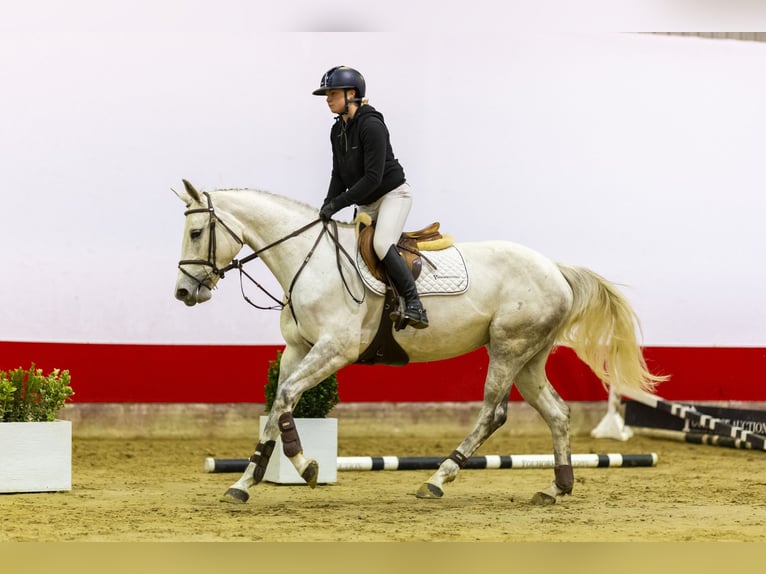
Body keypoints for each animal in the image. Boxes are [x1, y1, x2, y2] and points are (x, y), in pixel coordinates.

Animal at [174, 182, 664, 506]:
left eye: (196, 233)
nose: (183, 293)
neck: (308, 261)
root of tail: (555, 268)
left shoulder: (335, 349)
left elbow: (289, 398)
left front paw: (305, 467)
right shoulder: (299, 349)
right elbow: (279, 405)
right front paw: (245, 482)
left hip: (508, 348)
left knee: (493, 413)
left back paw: (437, 479)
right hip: (529, 358)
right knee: (558, 413)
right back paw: (556, 486)